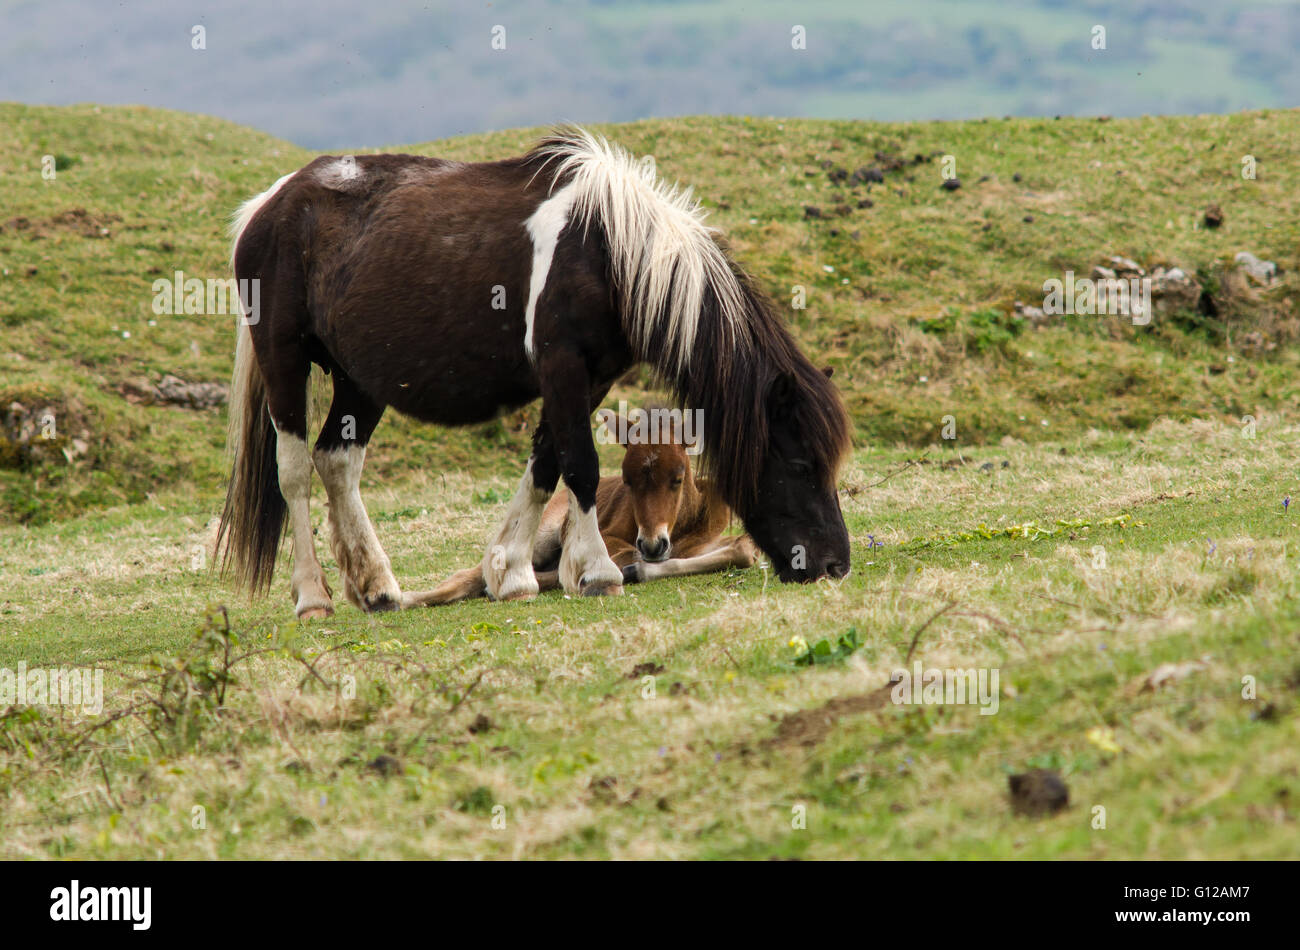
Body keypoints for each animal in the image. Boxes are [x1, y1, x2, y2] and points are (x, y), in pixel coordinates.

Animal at [403, 406, 761, 606]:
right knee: (473, 573)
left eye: (678, 477)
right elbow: (620, 554)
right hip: (542, 536)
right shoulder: (613, 536)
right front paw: (628, 571)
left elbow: (743, 549)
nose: (653, 544)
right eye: (627, 480)